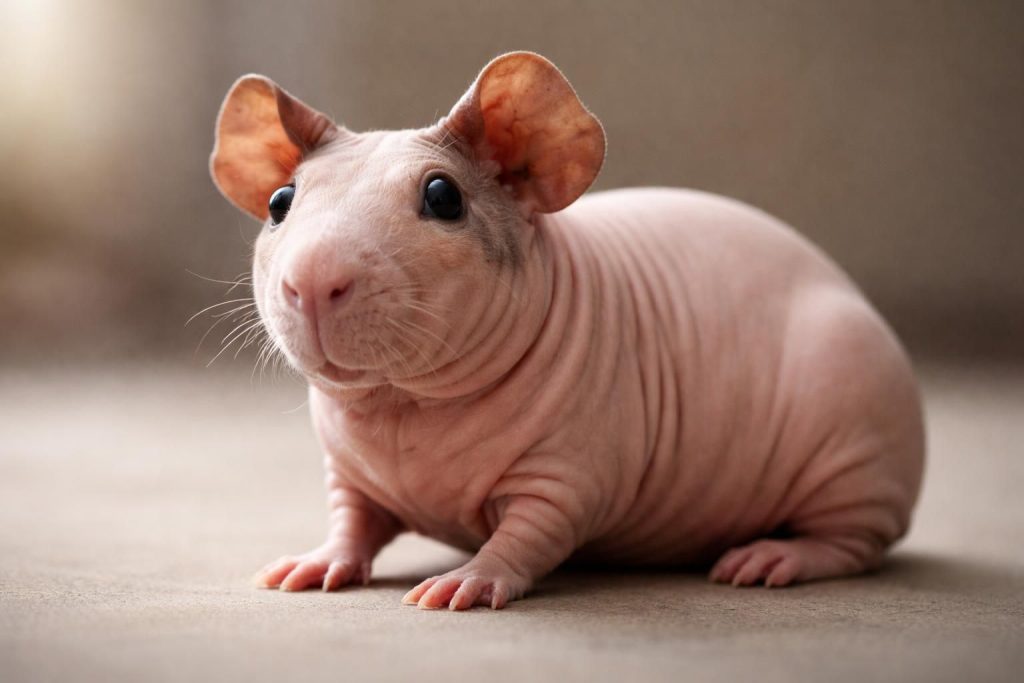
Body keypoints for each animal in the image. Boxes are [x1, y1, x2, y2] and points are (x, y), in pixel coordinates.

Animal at [209, 52, 924, 610]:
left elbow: (534, 529)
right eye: (279, 203)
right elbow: (353, 518)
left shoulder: (567, 468)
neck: (406, 403)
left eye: (443, 197)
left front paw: (474, 574)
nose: (312, 282)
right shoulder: (349, 470)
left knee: (855, 539)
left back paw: (780, 556)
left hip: (856, 425)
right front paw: (322, 557)